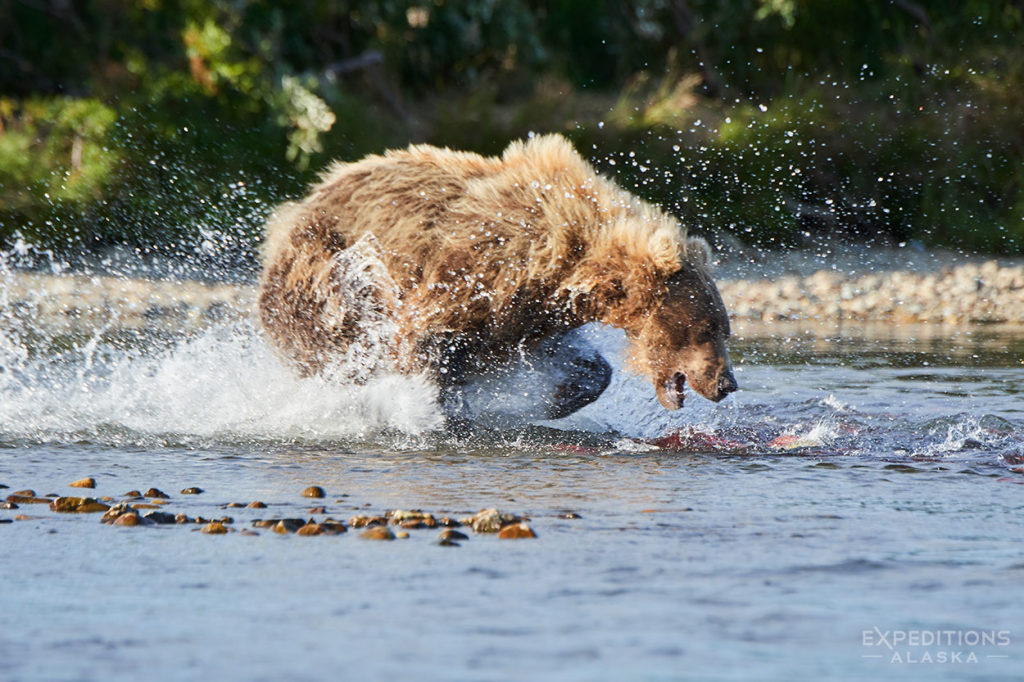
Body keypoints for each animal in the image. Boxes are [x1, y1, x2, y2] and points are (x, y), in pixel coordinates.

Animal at [256, 133, 737, 417]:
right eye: (707, 327)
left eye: (722, 328)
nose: (727, 383)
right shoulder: (480, 270)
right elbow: (428, 341)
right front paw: (440, 409)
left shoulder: (532, 311)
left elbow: (577, 362)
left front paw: (558, 396)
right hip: (326, 269)